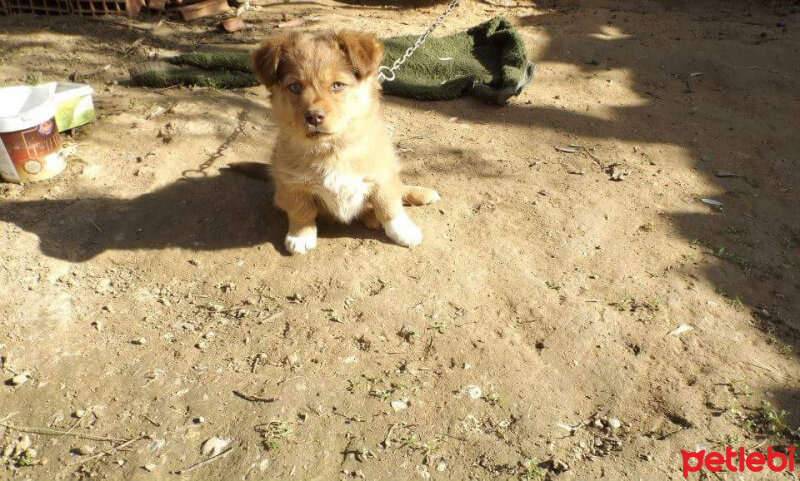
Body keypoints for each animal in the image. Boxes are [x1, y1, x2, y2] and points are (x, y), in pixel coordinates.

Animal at [250, 30, 438, 255]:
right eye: (294, 87)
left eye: (337, 85)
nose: (314, 117)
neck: (333, 149)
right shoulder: (292, 184)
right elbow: (301, 211)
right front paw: (300, 236)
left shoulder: (382, 176)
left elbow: (389, 206)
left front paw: (403, 231)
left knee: (399, 189)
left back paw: (421, 193)